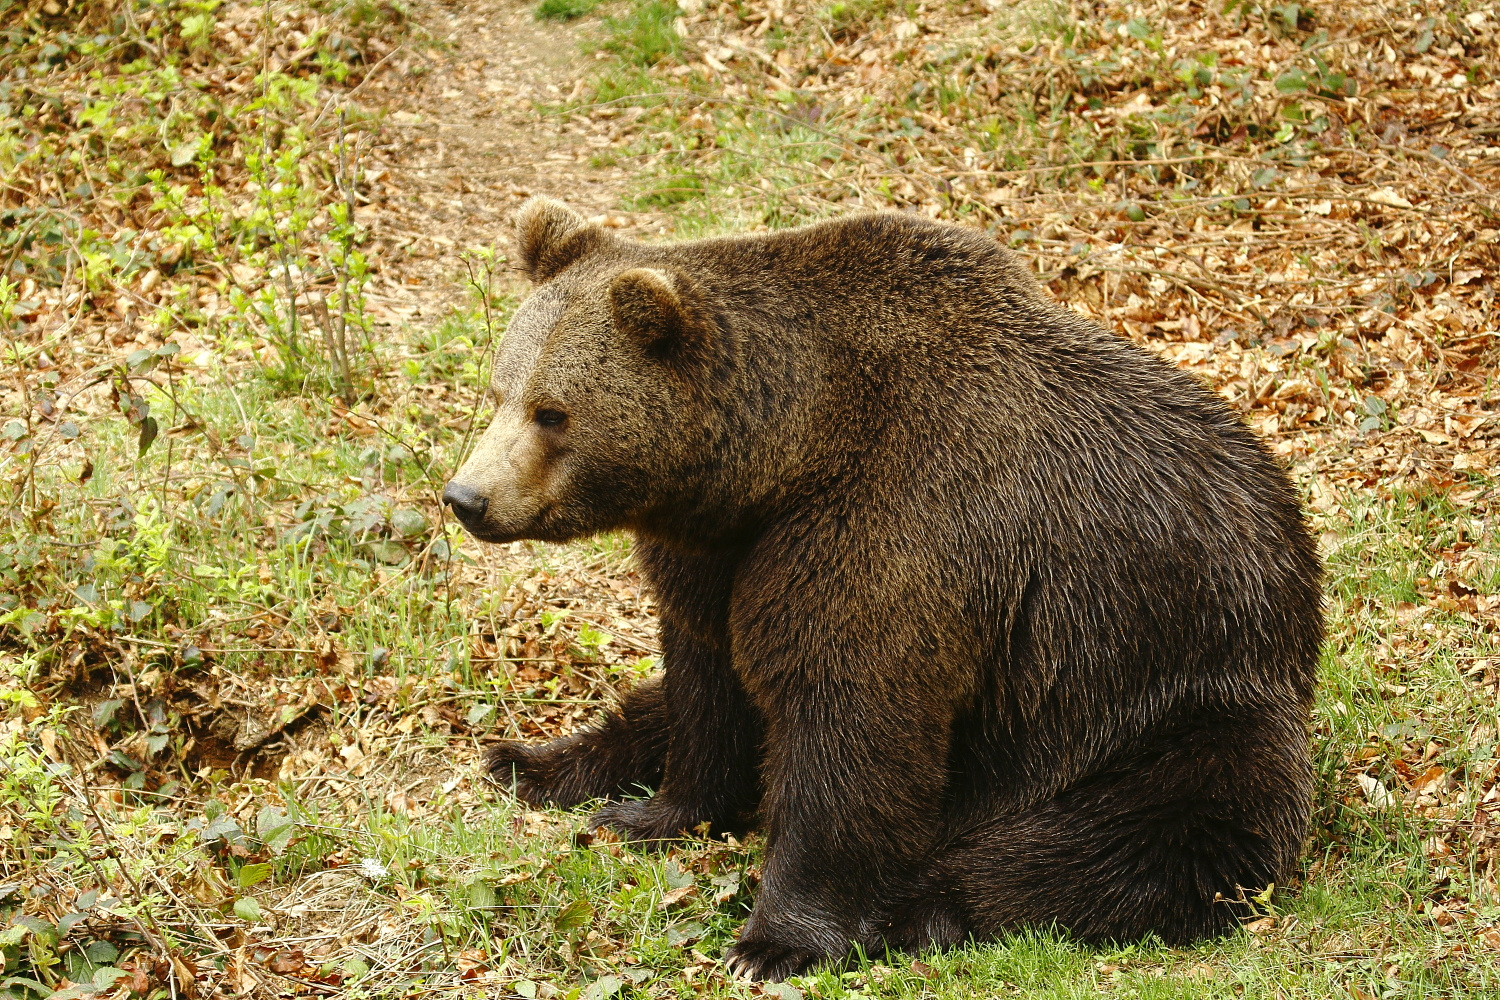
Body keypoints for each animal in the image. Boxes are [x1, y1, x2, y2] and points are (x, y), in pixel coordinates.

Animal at [444, 197, 1326, 983]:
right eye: (500, 391)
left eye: (553, 412)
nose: (467, 497)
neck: (785, 457)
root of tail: (1291, 536)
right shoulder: (721, 556)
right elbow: (707, 680)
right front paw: (653, 810)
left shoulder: (897, 528)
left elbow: (852, 727)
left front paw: (775, 940)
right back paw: (534, 762)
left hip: (1162, 693)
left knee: (1118, 840)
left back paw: (923, 909)